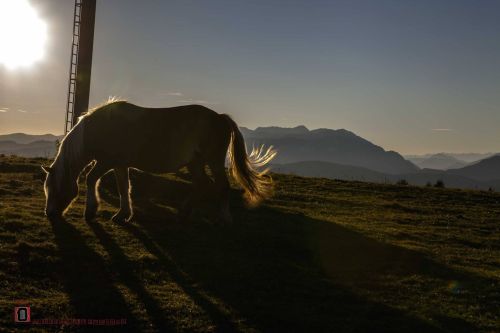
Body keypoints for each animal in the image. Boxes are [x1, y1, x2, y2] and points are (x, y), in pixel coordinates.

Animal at [42, 98, 278, 223]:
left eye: (54, 188)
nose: (50, 214)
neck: (102, 127)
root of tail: (220, 117)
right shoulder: (120, 165)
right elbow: (123, 187)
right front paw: (123, 214)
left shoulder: (107, 162)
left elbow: (91, 179)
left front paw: (91, 211)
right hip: (195, 164)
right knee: (202, 184)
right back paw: (185, 210)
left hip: (214, 161)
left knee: (222, 185)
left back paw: (224, 216)